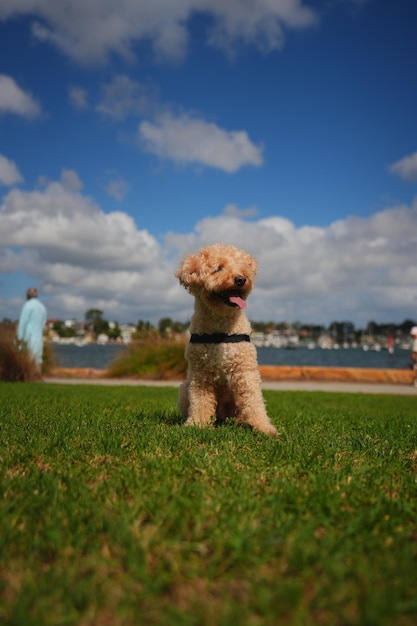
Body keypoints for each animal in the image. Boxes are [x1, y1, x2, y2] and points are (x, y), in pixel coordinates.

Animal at [175, 244, 276, 434]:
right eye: (218, 268)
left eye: (242, 265)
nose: (241, 279)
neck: (221, 330)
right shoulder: (201, 374)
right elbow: (200, 401)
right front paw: (198, 424)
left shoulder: (245, 370)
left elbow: (254, 400)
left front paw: (263, 427)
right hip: (184, 388)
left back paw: (240, 421)